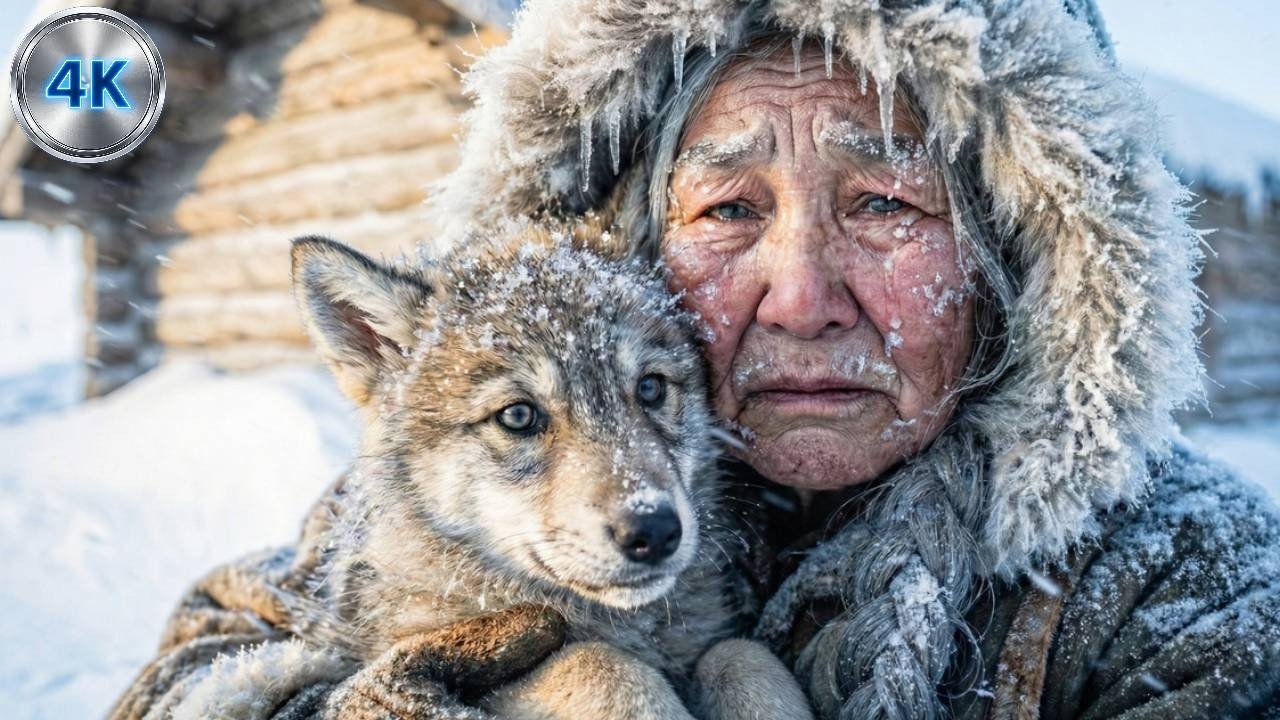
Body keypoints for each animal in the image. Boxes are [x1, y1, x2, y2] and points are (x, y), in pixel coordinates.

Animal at [279, 222, 813, 720]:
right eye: (518, 415)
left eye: (650, 389)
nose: (655, 529)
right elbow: (598, 663)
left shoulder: (719, 645)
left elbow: (740, 655)